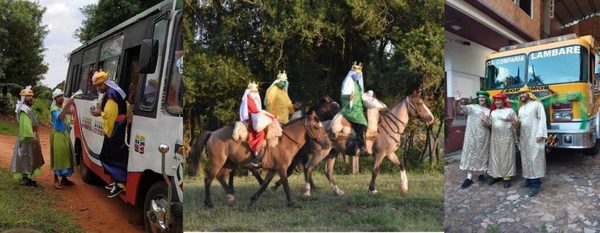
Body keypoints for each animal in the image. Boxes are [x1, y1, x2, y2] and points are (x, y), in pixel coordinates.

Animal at [198, 109, 330, 208]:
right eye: (316, 127)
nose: (328, 144)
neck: (284, 142)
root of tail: (212, 133)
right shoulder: (281, 168)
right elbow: (286, 185)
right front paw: (291, 203)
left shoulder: (272, 169)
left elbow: (264, 185)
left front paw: (253, 200)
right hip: (217, 163)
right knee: (208, 179)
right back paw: (209, 203)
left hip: (229, 164)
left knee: (220, 177)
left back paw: (230, 197)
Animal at [300, 91, 436, 197]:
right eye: (419, 103)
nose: (431, 118)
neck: (389, 127)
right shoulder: (380, 154)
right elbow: (375, 170)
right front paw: (372, 189)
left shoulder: (389, 153)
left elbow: (401, 165)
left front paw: (404, 187)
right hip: (320, 152)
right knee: (308, 167)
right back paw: (307, 191)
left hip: (332, 153)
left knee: (327, 172)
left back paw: (338, 191)